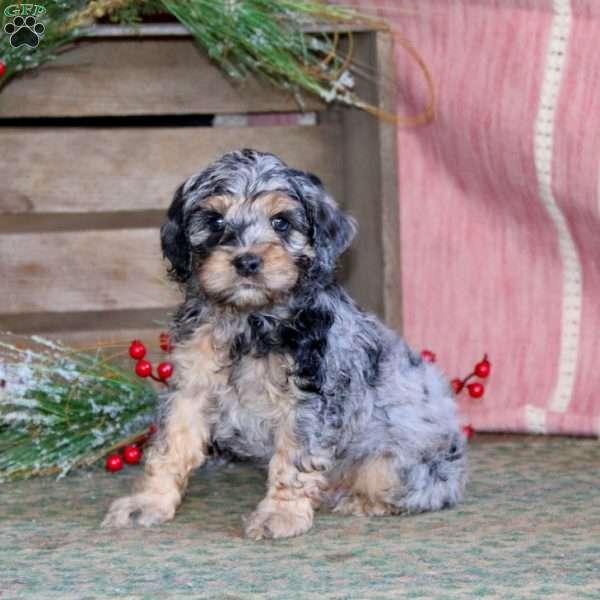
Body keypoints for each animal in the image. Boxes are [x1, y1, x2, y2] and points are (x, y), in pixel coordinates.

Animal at [103, 149, 466, 540]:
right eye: (215, 221)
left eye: (281, 222)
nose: (247, 261)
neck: (250, 320)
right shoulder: (190, 387)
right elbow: (170, 447)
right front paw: (147, 504)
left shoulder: (309, 399)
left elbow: (293, 460)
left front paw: (280, 514)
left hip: (395, 464)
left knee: (424, 492)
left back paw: (360, 501)